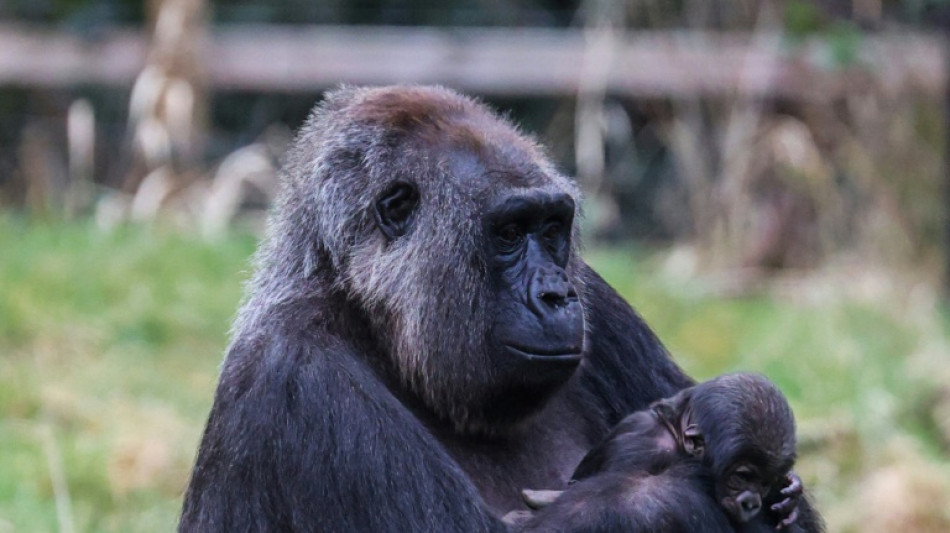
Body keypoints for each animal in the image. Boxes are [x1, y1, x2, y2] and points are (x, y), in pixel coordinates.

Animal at [179, 85, 815, 531]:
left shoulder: (602, 304)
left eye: (552, 228)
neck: (377, 324)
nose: (557, 294)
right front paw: (693, 483)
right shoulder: (299, 377)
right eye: (509, 233)